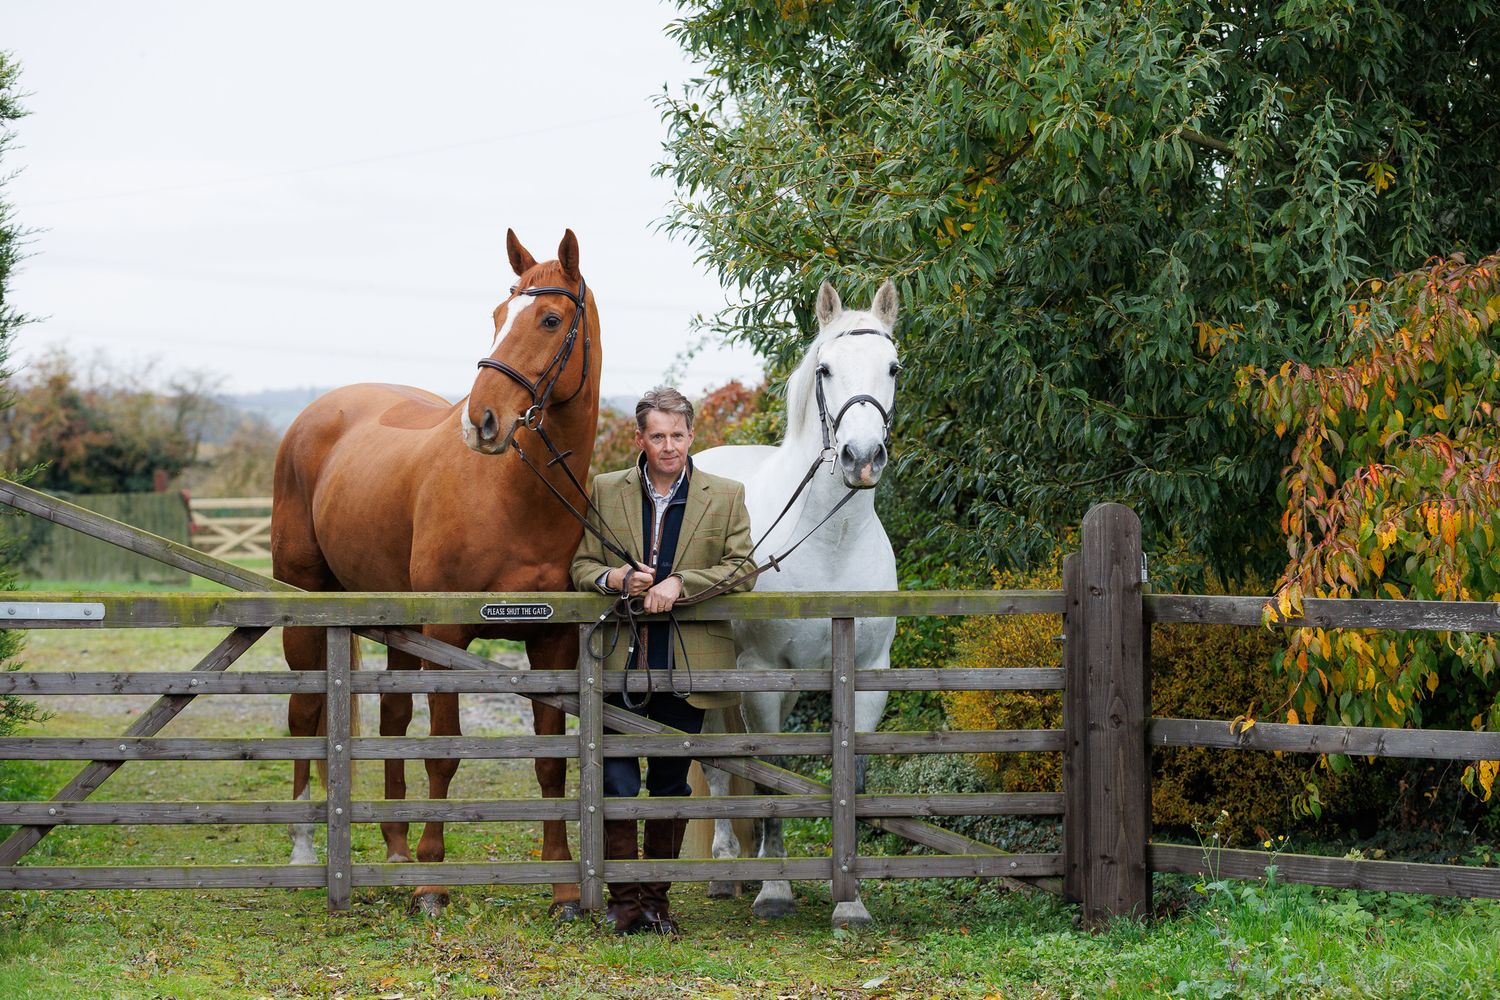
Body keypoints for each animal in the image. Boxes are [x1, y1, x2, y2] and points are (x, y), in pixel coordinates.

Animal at [271, 229, 601, 918]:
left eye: (550, 319)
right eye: (498, 316)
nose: (482, 422)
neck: (513, 497)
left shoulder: (553, 642)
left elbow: (551, 762)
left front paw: (562, 888)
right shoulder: (449, 638)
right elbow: (443, 754)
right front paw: (432, 881)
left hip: (399, 626)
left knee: (392, 720)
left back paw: (396, 849)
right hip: (306, 613)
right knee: (304, 711)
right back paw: (305, 850)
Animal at [691, 279, 901, 927]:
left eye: (893, 367)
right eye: (826, 369)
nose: (862, 456)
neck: (828, 543)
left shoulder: (867, 677)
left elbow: (850, 779)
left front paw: (851, 899)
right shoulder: (762, 678)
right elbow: (769, 778)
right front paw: (775, 891)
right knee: (717, 764)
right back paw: (727, 872)